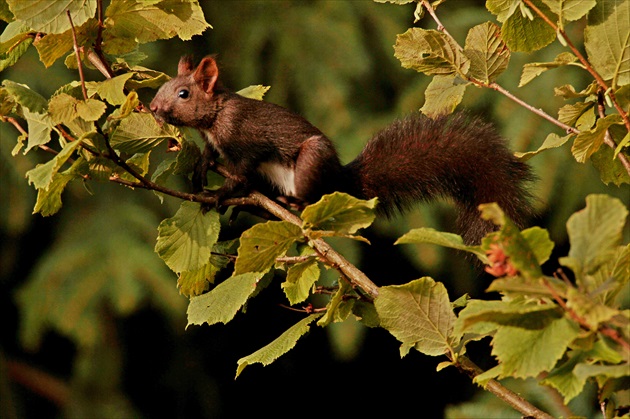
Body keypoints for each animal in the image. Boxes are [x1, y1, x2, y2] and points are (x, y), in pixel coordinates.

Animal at [151, 57, 536, 244]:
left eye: (184, 94)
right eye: (165, 85)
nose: (153, 108)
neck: (215, 117)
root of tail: (341, 180)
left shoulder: (247, 142)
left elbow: (241, 173)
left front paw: (219, 193)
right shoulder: (215, 142)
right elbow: (211, 156)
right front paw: (202, 169)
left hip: (311, 163)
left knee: (309, 198)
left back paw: (291, 204)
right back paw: (256, 207)